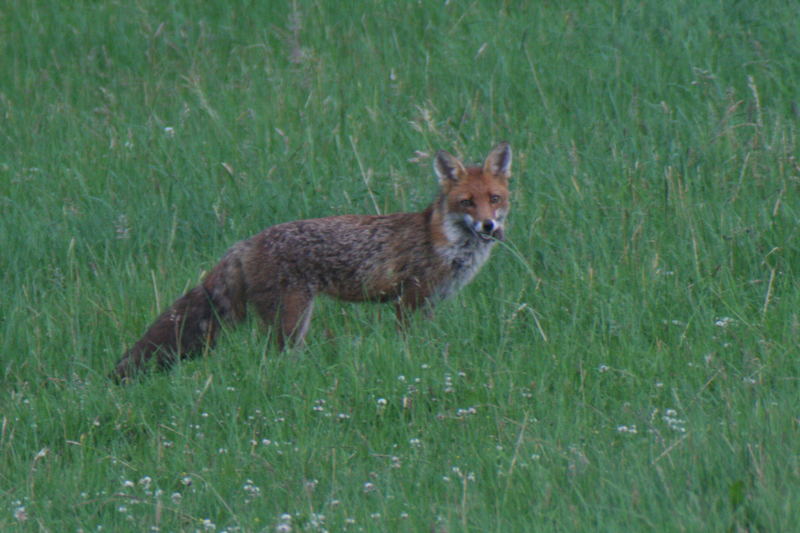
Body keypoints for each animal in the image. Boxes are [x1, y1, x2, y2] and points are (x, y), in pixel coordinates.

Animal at [111, 143, 512, 380]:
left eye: (494, 199)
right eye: (467, 203)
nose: (489, 226)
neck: (446, 244)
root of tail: (246, 242)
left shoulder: (428, 302)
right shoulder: (409, 299)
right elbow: (408, 343)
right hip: (292, 320)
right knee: (275, 358)